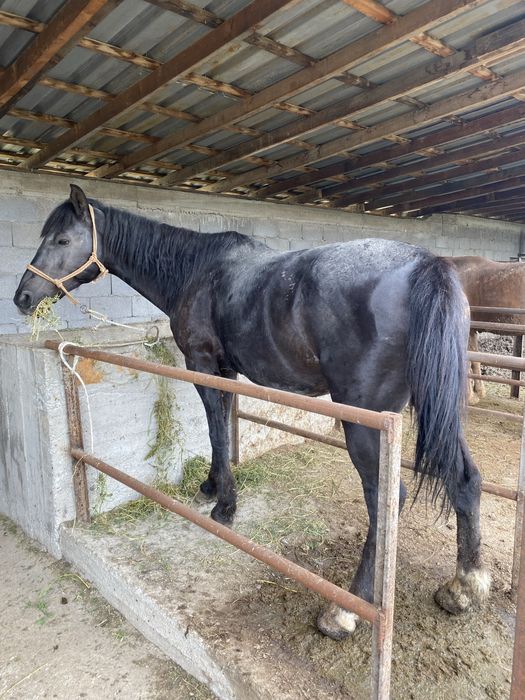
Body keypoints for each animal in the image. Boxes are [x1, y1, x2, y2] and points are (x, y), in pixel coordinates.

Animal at [13, 185, 489, 640]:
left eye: (62, 239)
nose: (22, 296)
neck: (196, 270)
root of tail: (426, 265)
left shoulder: (204, 366)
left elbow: (215, 429)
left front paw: (224, 505)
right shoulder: (226, 372)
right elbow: (221, 428)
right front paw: (211, 487)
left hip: (365, 421)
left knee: (387, 498)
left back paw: (343, 612)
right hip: (436, 411)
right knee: (465, 478)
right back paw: (464, 585)